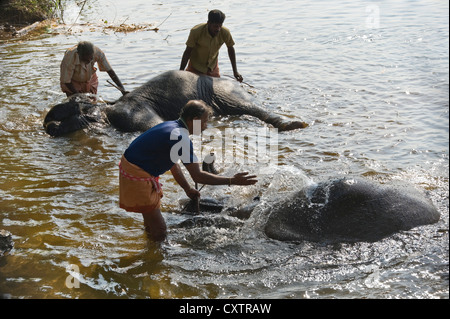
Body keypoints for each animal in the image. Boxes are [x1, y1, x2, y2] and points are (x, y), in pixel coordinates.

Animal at [43, 70, 310, 137]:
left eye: (62, 114)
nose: (49, 127)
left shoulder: (132, 113)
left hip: (227, 92)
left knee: (249, 107)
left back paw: (295, 125)